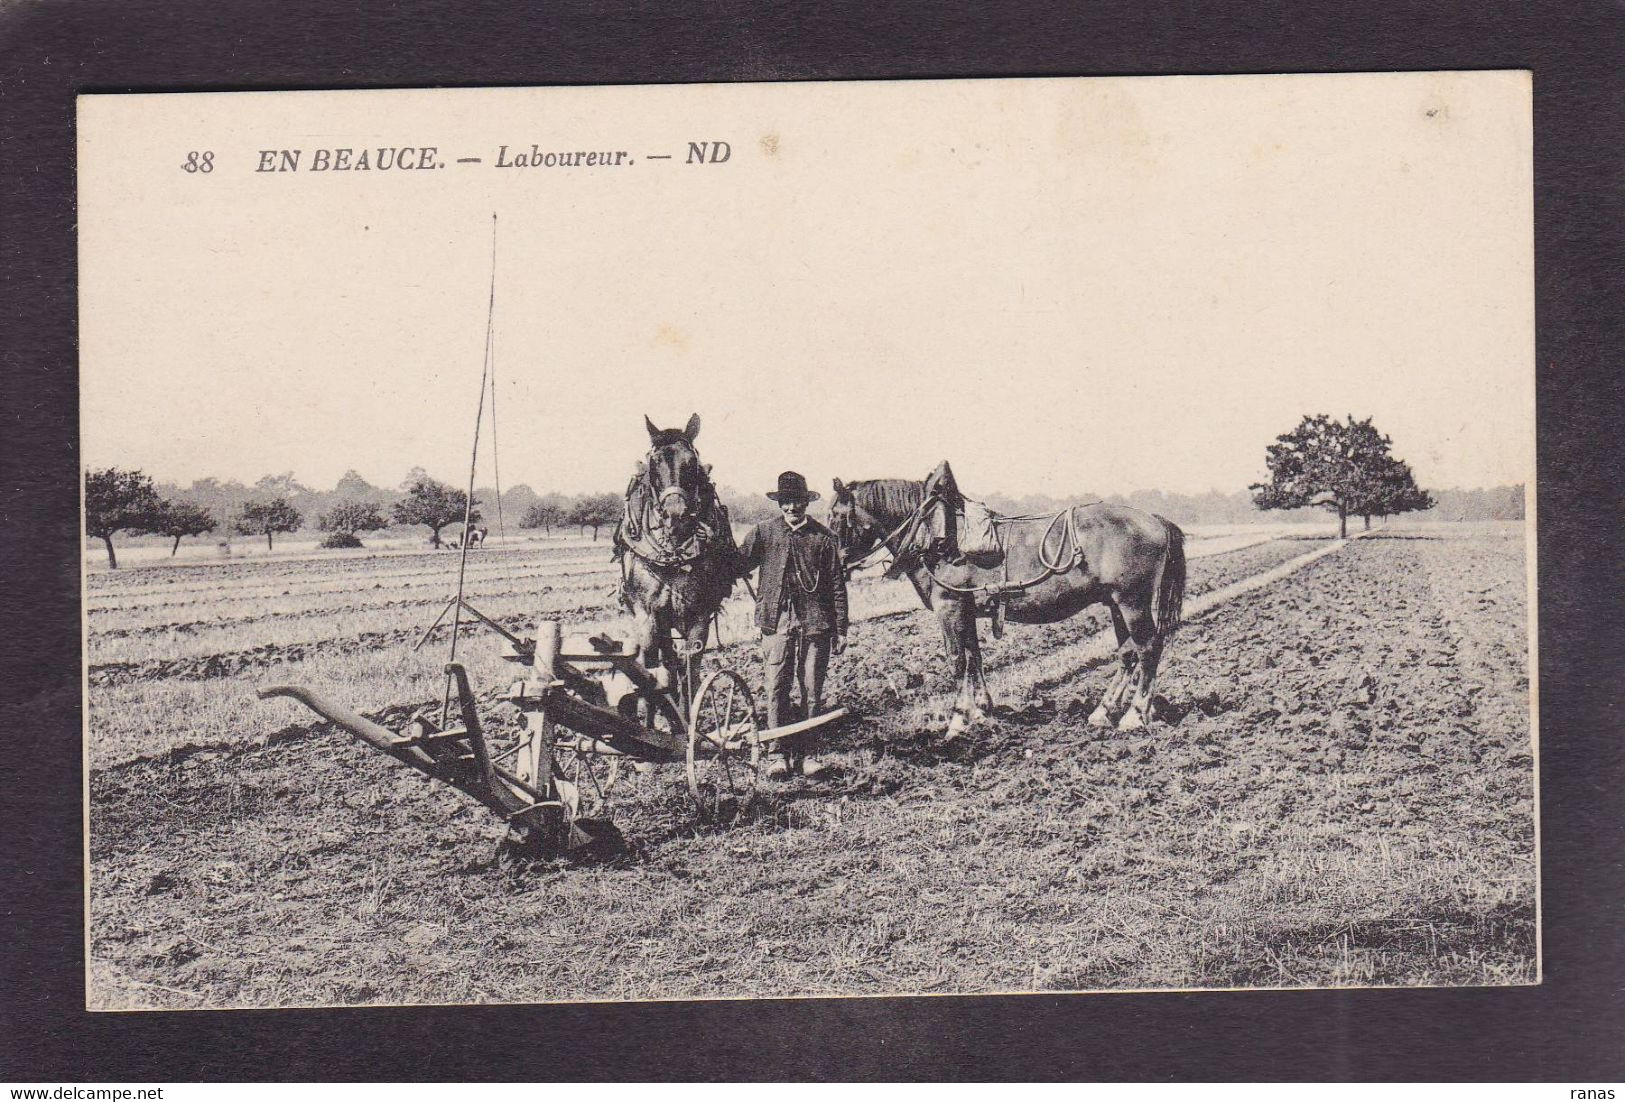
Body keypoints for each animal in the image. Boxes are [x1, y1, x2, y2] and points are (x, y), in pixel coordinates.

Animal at [611, 414, 737, 715]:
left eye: (691, 463)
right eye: (655, 462)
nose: (675, 514)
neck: (672, 556)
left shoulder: (698, 616)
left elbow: (690, 673)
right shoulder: (648, 617)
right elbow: (651, 673)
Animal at [832, 471, 1189, 737]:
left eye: (837, 516)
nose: (837, 563)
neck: (935, 535)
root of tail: (1155, 520)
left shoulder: (949, 606)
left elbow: (957, 660)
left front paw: (958, 720)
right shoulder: (966, 610)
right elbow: (974, 657)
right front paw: (981, 711)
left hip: (1133, 603)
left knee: (1148, 649)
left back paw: (1135, 715)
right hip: (1115, 604)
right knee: (1128, 654)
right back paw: (1103, 712)